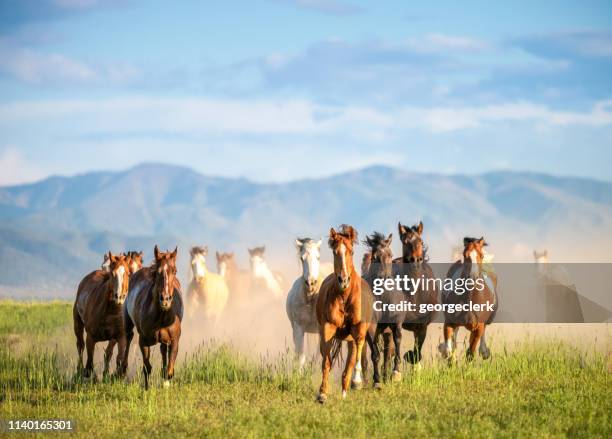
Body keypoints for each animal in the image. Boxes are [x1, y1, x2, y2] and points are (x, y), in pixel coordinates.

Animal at [122, 246, 183, 390]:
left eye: (175, 271)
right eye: (156, 272)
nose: (165, 299)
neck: (162, 316)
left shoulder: (174, 340)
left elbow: (169, 370)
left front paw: (166, 383)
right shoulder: (143, 341)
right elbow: (147, 367)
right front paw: (147, 389)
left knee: (163, 352)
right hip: (128, 325)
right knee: (128, 338)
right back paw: (122, 368)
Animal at [316, 225, 372, 404]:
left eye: (351, 251)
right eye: (335, 252)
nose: (344, 280)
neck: (344, 296)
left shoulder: (358, 327)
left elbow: (358, 352)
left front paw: (357, 381)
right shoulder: (327, 328)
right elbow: (326, 362)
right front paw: (322, 394)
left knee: (354, 359)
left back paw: (348, 388)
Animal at [394, 222, 438, 370]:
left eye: (421, 241)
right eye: (404, 242)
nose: (415, 260)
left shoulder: (422, 326)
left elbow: (417, 352)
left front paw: (410, 358)